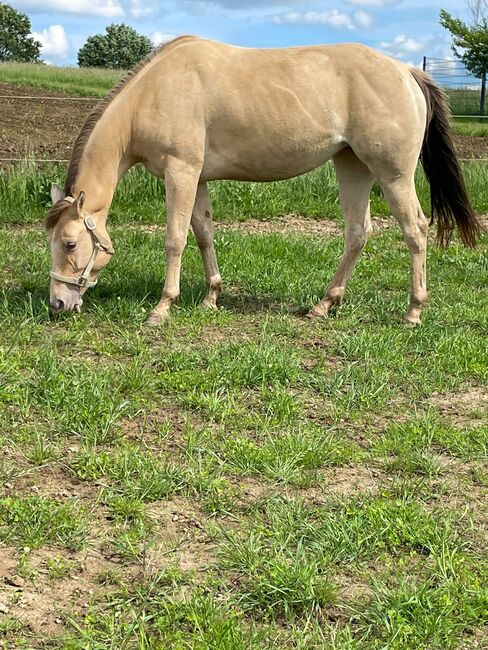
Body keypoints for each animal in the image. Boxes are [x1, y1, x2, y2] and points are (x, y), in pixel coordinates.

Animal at [44, 35, 480, 324]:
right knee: (358, 232)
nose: (58, 304)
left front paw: (162, 308)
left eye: (70, 242)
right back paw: (324, 304)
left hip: (393, 174)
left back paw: (413, 311)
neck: (155, 91)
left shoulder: (180, 172)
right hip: (352, 167)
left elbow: (175, 238)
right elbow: (204, 234)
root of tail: (406, 70)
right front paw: (211, 296)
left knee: (415, 230)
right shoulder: (197, 178)